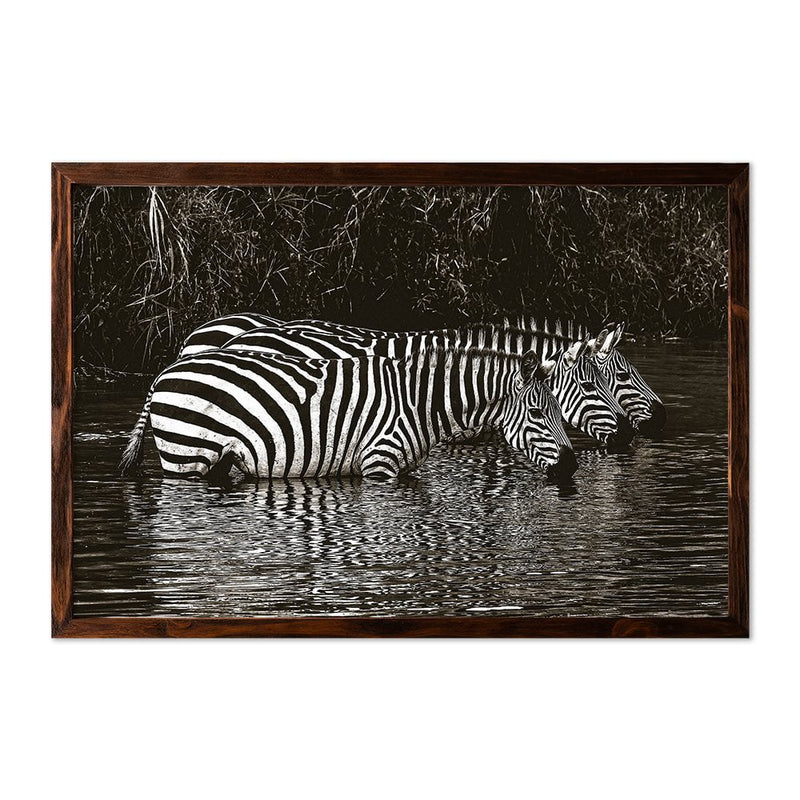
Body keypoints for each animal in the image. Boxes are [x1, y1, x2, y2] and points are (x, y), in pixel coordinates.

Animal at [120, 345, 577, 481]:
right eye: (537, 412)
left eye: (559, 409)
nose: (572, 466)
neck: (420, 403)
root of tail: (164, 373)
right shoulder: (379, 465)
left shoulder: (403, 470)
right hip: (186, 457)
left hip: (214, 462)